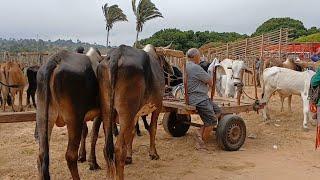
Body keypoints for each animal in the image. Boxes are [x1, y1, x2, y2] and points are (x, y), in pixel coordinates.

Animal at [97, 44, 168, 179]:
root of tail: (117, 54)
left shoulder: (135, 114)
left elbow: (132, 133)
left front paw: (129, 157)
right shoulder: (157, 106)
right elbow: (153, 128)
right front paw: (153, 154)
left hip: (107, 111)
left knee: (106, 148)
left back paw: (109, 176)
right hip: (126, 112)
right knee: (118, 149)